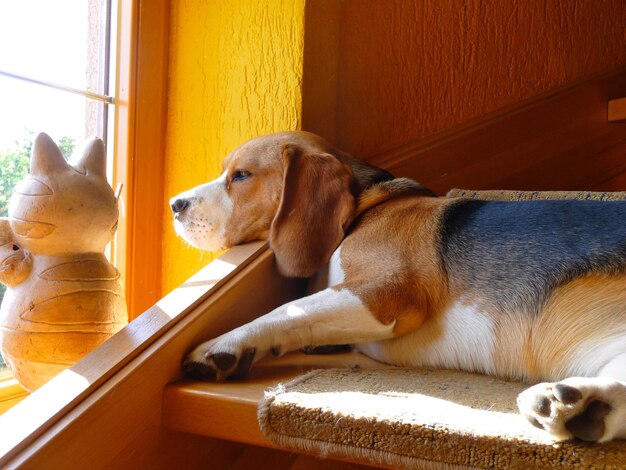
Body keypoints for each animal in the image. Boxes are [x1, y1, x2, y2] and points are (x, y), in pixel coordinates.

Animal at [171, 130, 624, 442]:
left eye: (241, 175)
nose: (175, 204)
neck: (366, 208)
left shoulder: (386, 293)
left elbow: (287, 311)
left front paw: (223, 344)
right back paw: (580, 405)